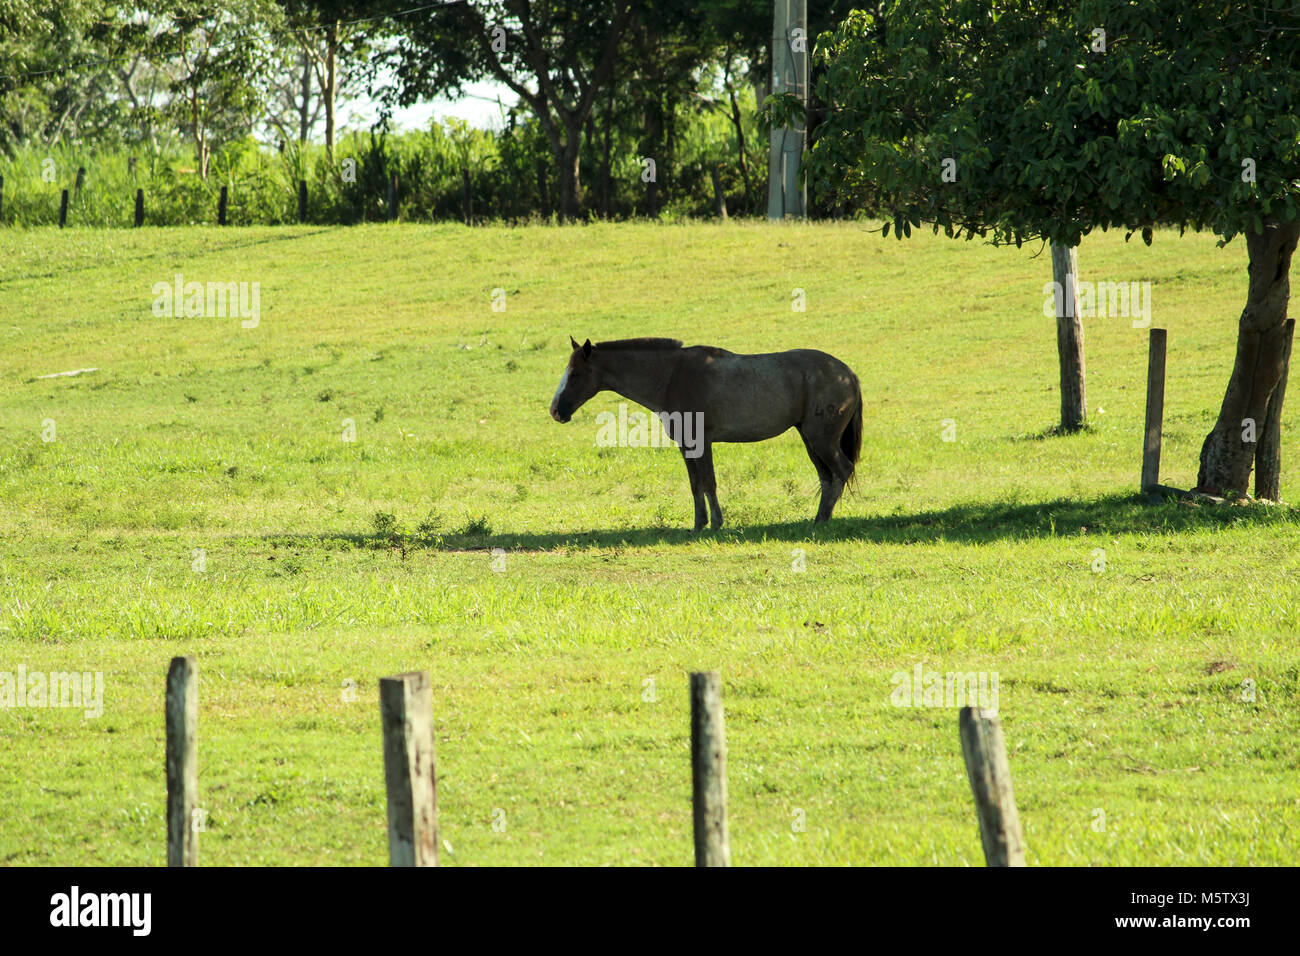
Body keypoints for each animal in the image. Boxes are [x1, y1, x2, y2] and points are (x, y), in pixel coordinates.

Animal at [548, 335, 863, 530]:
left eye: (575, 374)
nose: (555, 411)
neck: (671, 376)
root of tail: (847, 374)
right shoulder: (686, 445)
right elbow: (695, 485)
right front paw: (699, 523)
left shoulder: (702, 442)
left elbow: (708, 483)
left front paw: (717, 523)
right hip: (811, 440)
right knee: (827, 477)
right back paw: (819, 517)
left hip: (822, 440)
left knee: (841, 471)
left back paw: (823, 520)